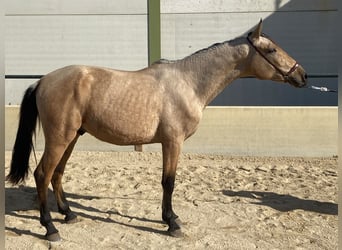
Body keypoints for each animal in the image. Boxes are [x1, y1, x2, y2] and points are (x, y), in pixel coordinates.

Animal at [6, 20, 306, 240]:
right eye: (271, 50)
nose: (302, 75)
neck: (188, 82)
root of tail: (43, 81)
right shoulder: (173, 142)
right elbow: (168, 182)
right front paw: (171, 223)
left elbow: (167, 182)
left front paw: (170, 218)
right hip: (60, 138)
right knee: (42, 174)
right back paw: (50, 228)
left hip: (71, 139)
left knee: (56, 174)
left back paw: (68, 214)